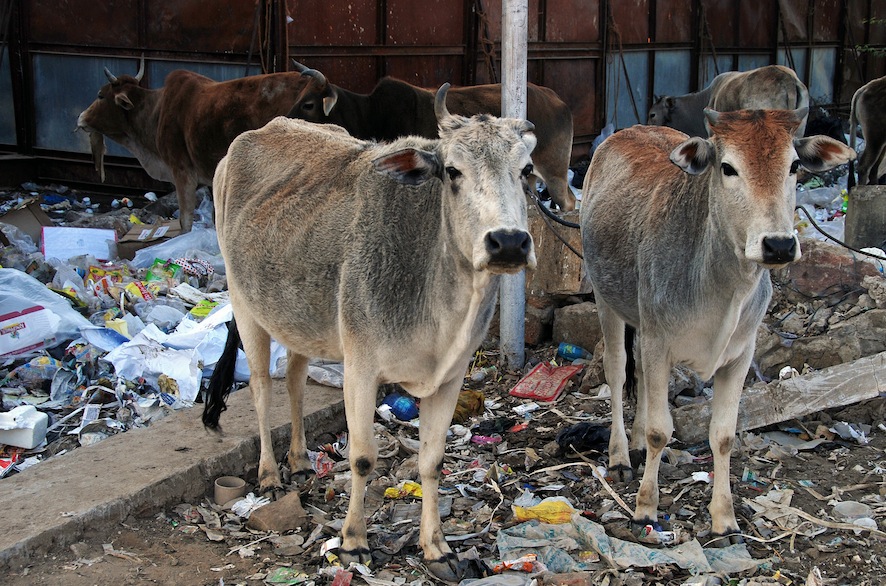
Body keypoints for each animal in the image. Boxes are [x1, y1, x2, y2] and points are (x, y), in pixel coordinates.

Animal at [205, 84, 536, 576]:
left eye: (526, 170)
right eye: (452, 171)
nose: (509, 242)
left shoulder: (450, 378)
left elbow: (432, 461)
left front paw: (436, 546)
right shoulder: (361, 369)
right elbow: (362, 458)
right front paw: (353, 542)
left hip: (301, 317)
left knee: (296, 380)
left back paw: (299, 460)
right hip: (244, 302)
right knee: (263, 386)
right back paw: (269, 474)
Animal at [284, 61, 576, 210]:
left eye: (309, 104)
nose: (283, 119)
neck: (371, 112)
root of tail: (559, 101)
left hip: (555, 173)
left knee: (569, 204)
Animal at [580, 108, 856, 544]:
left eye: (794, 166)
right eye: (728, 168)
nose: (779, 244)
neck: (725, 286)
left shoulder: (739, 356)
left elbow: (723, 436)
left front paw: (724, 519)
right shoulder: (659, 342)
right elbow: (660, 430)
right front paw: (645, 507)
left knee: (638, 378)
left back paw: (636, 444)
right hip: (606, 298)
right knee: (618, 370)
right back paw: (621, 454)